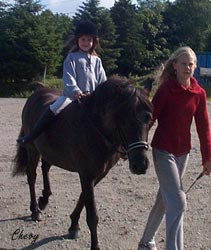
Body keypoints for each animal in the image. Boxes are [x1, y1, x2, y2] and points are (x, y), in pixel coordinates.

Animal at [13, 76, 152, 250]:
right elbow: (92, 214)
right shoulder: (86, 174)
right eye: (125, 118)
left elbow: (83, 197)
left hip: (48, 151)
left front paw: (73, 225)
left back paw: (44, 199)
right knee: (32, 176)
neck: (97, 130)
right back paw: (35, 210)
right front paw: (94, 245)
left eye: (150, 120)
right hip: (32, 148)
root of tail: (37, 93)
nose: (140, 165)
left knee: (45, 168)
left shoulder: (98, 174)